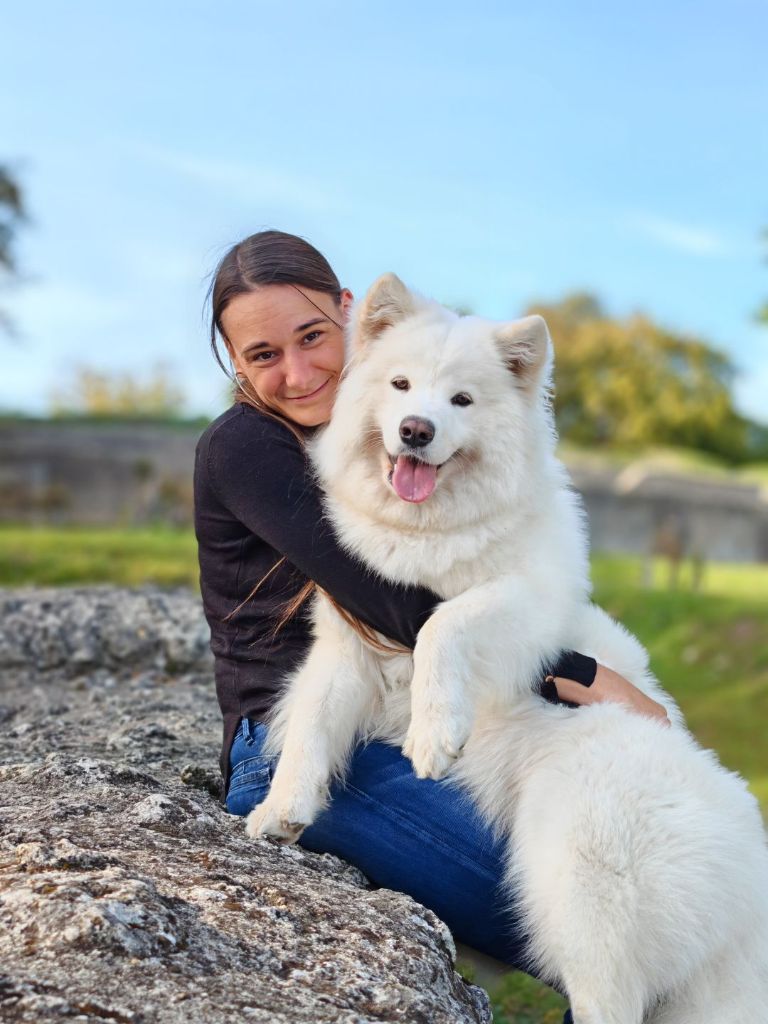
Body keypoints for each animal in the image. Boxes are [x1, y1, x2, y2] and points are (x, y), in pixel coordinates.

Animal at [247, 274, 768, 1024]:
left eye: (462, 401)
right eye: (402, 386)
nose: (416, 430)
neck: (428, 534)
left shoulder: (523, 603)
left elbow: (443, 624)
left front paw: (434, 734)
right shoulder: (346, 642)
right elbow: (312, 725)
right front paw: (280, 811)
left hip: (581, 884)